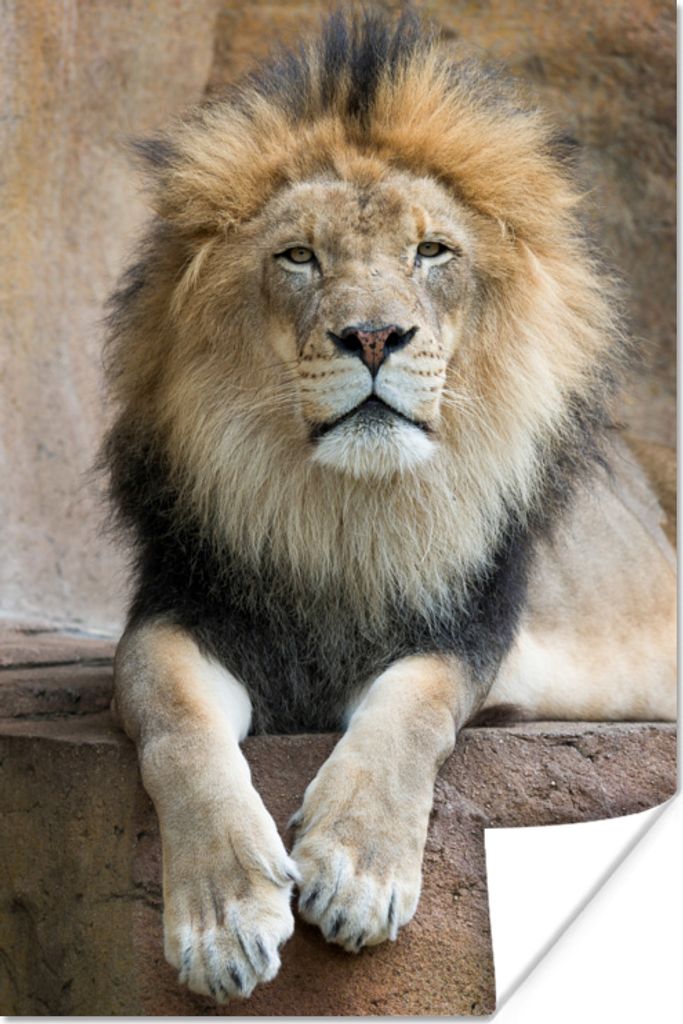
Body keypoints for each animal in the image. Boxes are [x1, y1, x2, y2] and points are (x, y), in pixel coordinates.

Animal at [103, 11, 676, 1003]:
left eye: (430, 251)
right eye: (299, 256)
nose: (372, 336)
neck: (344, 511)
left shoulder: (469, 630)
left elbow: (413, 705)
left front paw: (357, 871)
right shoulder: (178, 613)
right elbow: (175, 723)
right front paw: (221, 921)